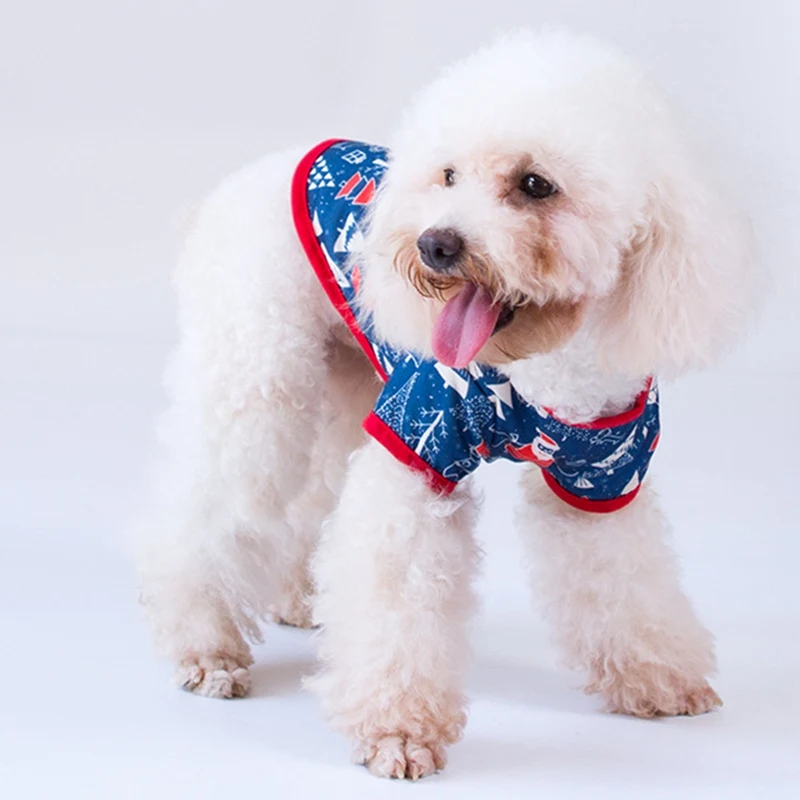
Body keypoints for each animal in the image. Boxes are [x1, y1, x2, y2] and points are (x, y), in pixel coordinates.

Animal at [135, 29, 755, 780]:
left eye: (536, 184)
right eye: (450, 176)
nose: (435, 245)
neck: (537, 371)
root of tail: (231, 188)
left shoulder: (600, 475)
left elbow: (627, 581)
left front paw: (656, 676)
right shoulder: (417, 440)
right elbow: (398, 589)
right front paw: (398, 730)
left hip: (346, 374)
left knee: (313, 493)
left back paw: (299, 597)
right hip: (257, 367)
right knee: (210, 503)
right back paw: (205, 645)